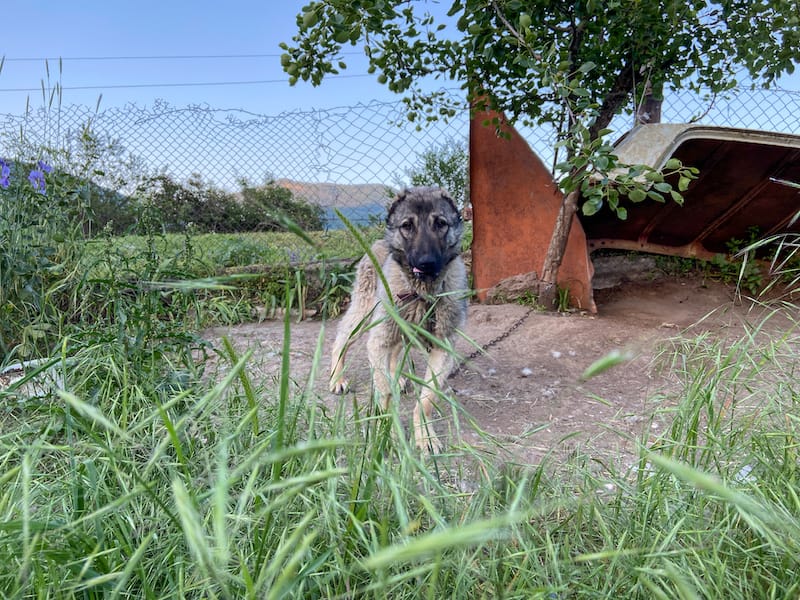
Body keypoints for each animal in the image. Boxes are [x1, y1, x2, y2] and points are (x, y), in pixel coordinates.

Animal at [330, 186, 468, 450]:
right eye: (407, 225)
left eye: (440, 223)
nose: (426, 263)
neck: (422, 291)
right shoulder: (378, 341)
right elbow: (385, 393)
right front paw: (390, 430)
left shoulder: (443, 348)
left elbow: (426, 399)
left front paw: (424, 434)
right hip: (364, 315)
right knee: (341, 338)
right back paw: (337, 377)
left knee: (394, 353)